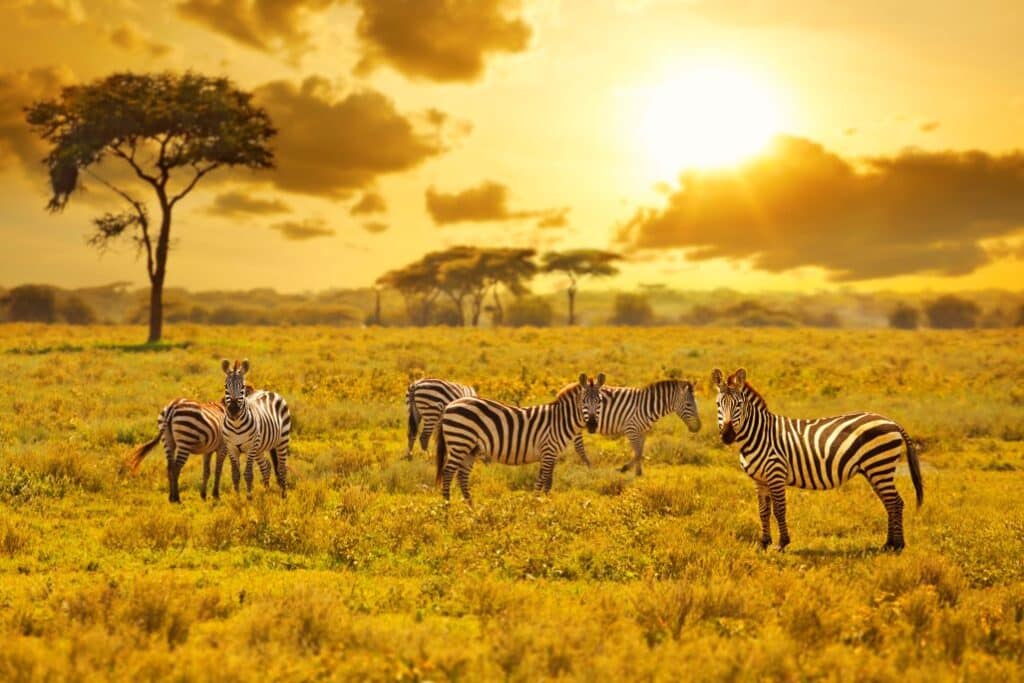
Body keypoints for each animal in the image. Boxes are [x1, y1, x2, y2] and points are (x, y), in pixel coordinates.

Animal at [217, 360, 292, 499]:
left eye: (242, 387)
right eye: (226, 386)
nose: (234, 410)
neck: (236, 424)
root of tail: (269, 391)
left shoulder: (251, 447)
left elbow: (248, 474)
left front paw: (249, 498)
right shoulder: (231, 448)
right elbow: (235, 475)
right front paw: (237, 499)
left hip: (282, 440)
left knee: (282, 468)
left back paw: (284, 495)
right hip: (260, 448)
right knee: (266, 466)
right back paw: (267, 492)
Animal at [434, 370, 606, 505]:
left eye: (599, 401)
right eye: (583, 401)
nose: (592, 425)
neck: (560, 420)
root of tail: (450, 405)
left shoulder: (551, 454)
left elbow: (545, 481)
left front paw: (541, 502)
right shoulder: (548, 450)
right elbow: (544, 481)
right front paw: (539, 504)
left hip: (470, 449)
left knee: (462, 476)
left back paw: (471, 508)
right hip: (459, 442)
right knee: (448, 473)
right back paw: (447, 507)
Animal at [712, 366, 921, 552]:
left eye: (739, 405)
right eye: (718, 405)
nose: (727, 436)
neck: (759, 435)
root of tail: (891, 421)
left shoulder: (776, 474)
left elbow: (779, 510)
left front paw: (782, 544)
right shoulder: (759, 479)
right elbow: (763, 511)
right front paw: (763, 544)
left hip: (879, 466)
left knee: (895, 502)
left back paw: (898, 546)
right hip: (875, 470)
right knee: (889, 503)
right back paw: (888, 544)